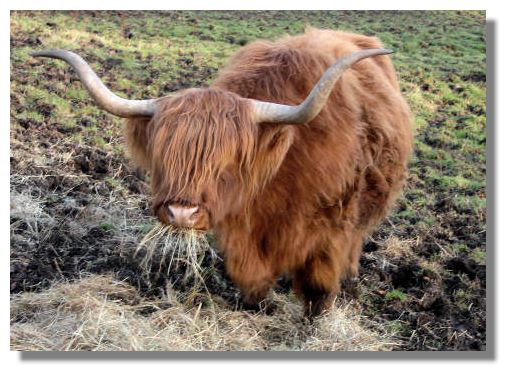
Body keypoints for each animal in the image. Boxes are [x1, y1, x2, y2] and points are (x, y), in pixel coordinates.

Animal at [32, 27, 414, 318]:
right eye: (165, 156)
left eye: (226, 162)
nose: (181, 212)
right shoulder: (242, 235)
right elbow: (252, 282)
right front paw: (256, 306)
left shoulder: (329, 236)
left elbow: (318, 289)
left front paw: (313, 325)